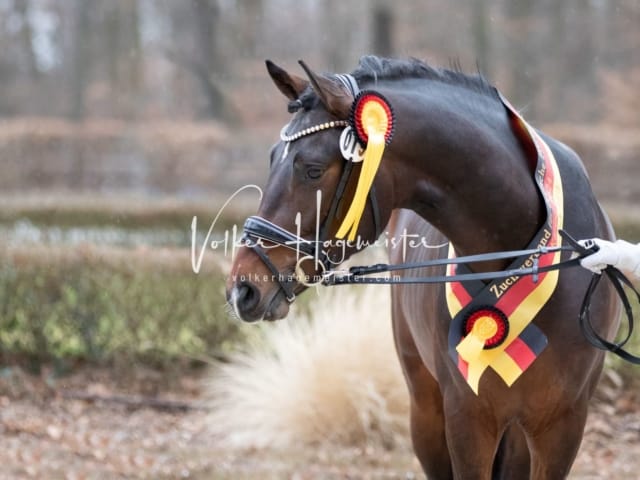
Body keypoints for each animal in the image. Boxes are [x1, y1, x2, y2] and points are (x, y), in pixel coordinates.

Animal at [225, 55, 620, 476]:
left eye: (312, 169)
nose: (242, 289)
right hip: (426, 409)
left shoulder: (562, 426)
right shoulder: (467, 418)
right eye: (272, 159)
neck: (523, 264)